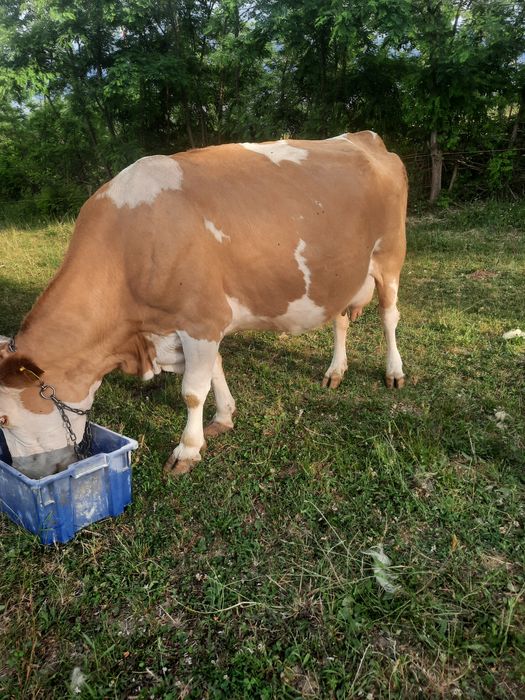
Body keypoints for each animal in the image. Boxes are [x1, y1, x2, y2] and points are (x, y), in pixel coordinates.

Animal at [0, 132, 407, 479]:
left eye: (3, 420)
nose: (31, 474)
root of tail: (363, 137)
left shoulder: (202, 320)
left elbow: (193, 391)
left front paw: (187, 450)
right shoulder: (190, 324)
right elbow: (215, 370)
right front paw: (224, 417)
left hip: (389, 256)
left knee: (389, 317)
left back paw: (394, 371)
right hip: (339, 274)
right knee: (340, 319)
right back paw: (335, 370)